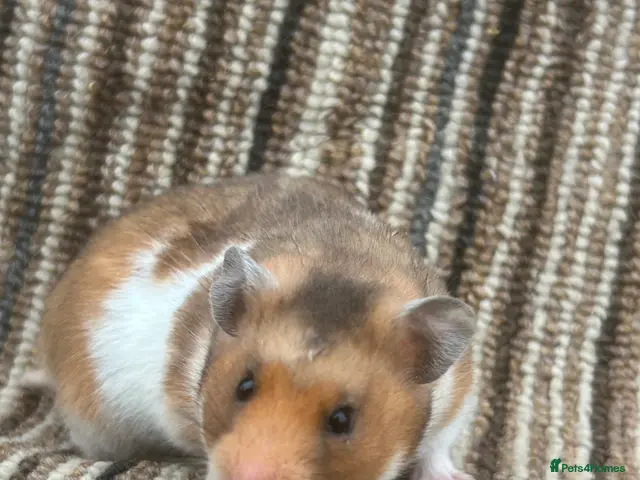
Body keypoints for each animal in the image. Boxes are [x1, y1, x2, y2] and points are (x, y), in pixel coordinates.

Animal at [34, 173, 477, 480]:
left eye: (343, 420)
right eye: (243, 387)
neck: (344, 265)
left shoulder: (457, 398)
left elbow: (437, 449)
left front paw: (457, 476)